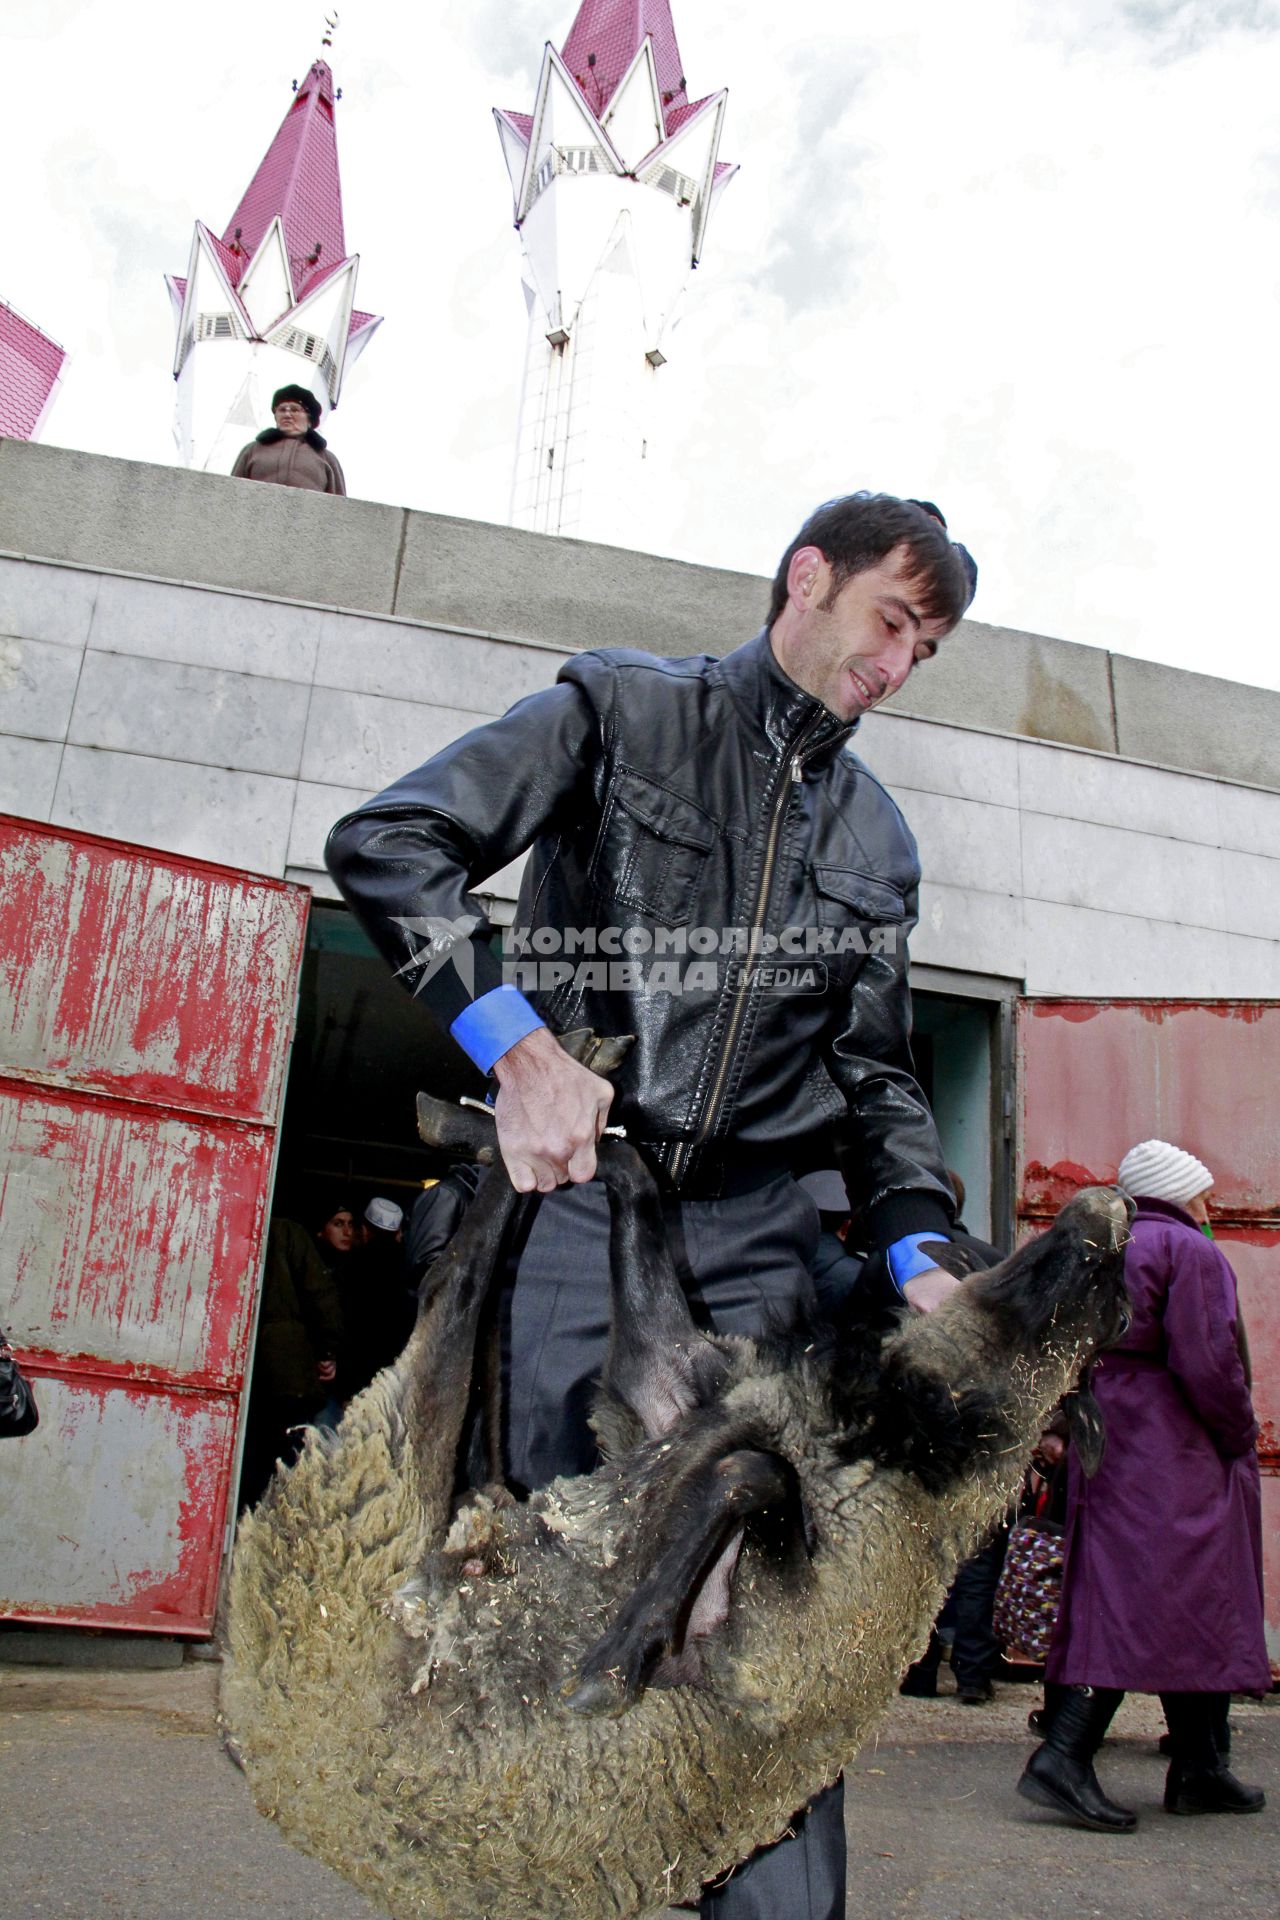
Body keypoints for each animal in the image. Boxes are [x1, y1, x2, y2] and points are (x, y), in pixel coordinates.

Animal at [222, 1098, 1128, 1920]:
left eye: (1111, 1320)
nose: (1108, 1212)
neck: (893, 1446)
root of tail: (263, 1743)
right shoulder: (663, 1390)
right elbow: (635, 1181)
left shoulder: (779, 1647)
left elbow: (748, 1475)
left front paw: (613, 1661)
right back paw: (485, 1121)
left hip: (385, 1487)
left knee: (458, 1288)